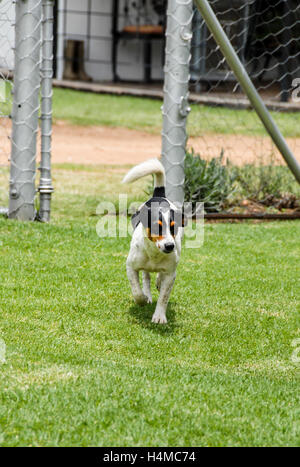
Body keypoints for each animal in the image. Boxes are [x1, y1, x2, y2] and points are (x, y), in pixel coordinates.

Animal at [122, 159, 185, 324]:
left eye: (174, 227)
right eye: (157, 227)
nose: (169, 246)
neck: (155, 254)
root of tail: (159, 196)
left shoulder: (170, 274)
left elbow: (164, 297)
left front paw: (159, 316)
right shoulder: (131, 267)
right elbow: (137, 291)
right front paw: (143, 299)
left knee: (157, 278)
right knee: (146, 277)